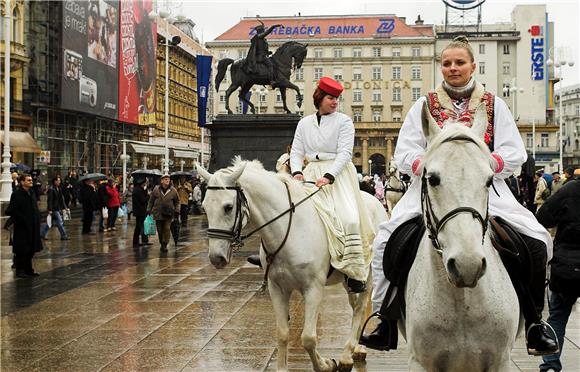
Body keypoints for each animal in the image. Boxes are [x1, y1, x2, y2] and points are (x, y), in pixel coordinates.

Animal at [196, 161, 390, 372]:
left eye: (228, 207)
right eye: (204, 207)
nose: (216, 258)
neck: (287, 231)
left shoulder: (313, 289)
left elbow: (308, 338)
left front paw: (324, 365)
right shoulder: (277, 288)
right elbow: (282, 333)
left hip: (367, 272)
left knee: (362, 305)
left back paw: (348, 355)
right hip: (348, 276)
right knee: (355, 306)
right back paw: (356, 349)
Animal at [404, 103, 520, 370]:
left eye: (489, 180)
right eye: (432, 179)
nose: (468, 265)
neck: (462, 298)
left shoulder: (502, 361)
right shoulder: (420, 361)